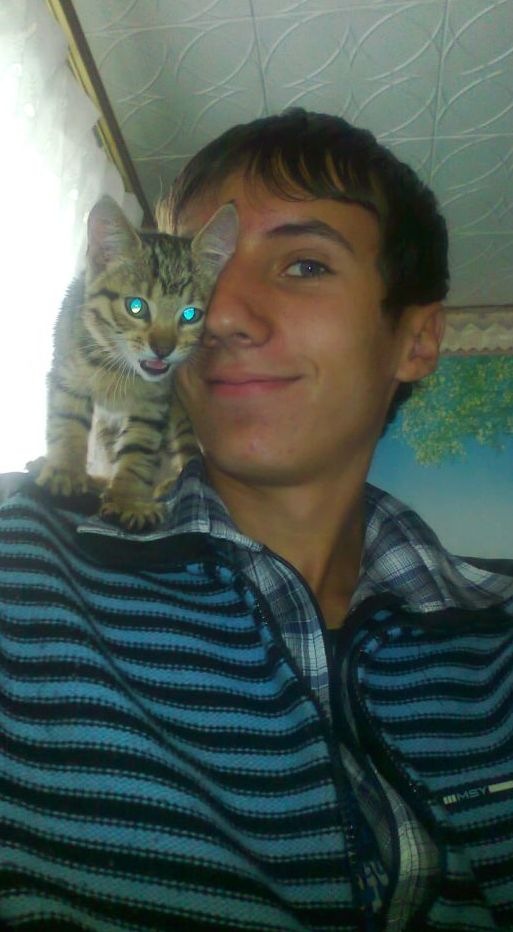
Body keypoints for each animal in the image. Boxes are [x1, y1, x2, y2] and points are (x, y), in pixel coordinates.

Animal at [31, 195, 238, 530]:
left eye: (190, 314)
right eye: (136, 307)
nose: (163, 349)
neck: (118, 367)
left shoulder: (154, 402)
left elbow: (139, 447)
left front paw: (129, 499)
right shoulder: (67, 372)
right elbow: (67, 420)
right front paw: (66, 470)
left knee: (187, 448)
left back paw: (169, 481)